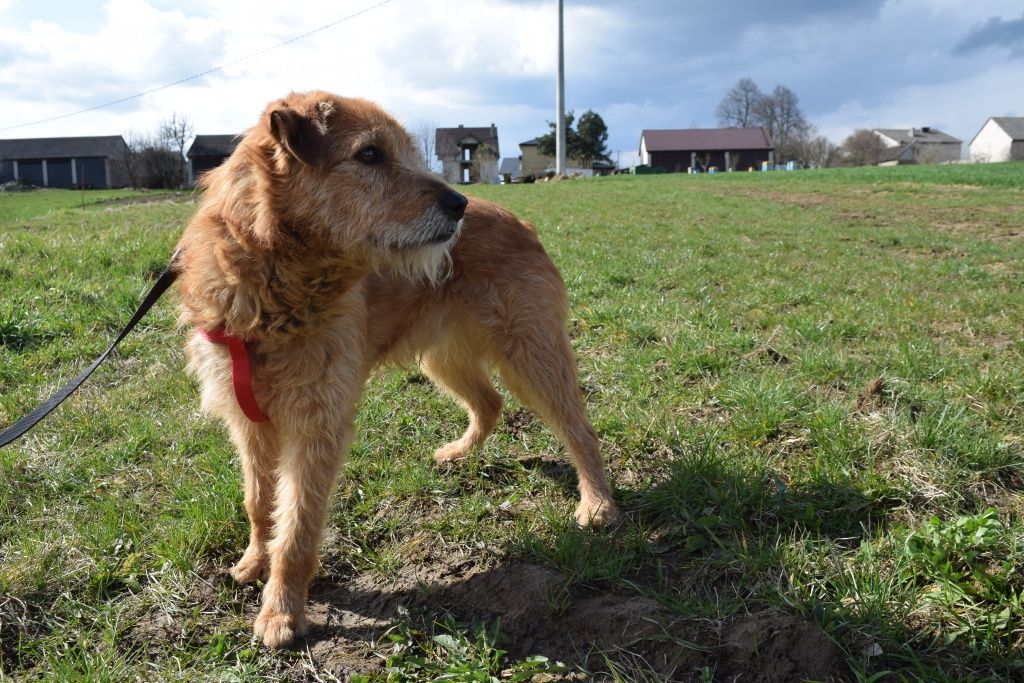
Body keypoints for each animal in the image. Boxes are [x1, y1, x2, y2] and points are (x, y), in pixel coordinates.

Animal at [174, 90, 614, 647]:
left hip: (533, 353)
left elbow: (296, 527)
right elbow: (259, 502)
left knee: (579, 427)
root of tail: (521, 222)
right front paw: (254, 562)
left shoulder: (318, 426)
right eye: (369, 154)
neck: (276, 288)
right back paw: (460, 454)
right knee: (490, 402)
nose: (459, 204)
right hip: (443, 357)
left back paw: (597, 504)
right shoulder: (249, 421)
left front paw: (281, 612)